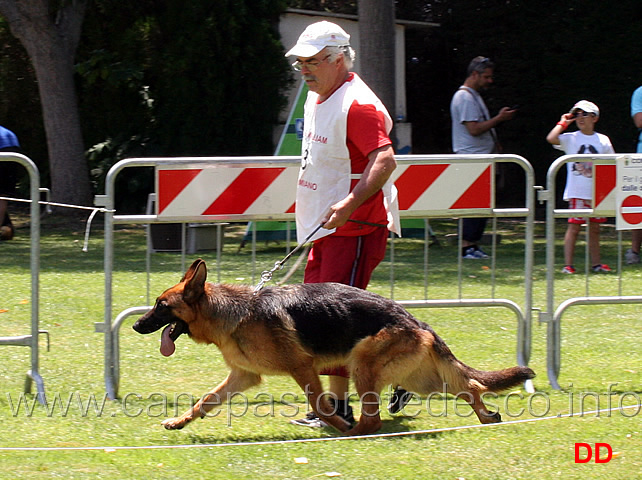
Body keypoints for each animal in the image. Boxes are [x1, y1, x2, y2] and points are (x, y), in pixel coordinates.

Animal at [132, 258, 532, 436]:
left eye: (161, 306)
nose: (136, 325)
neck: (233, 314)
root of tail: (416, 321)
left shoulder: (302, 368)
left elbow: (320, 405)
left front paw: (335, 422)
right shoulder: (243, 377)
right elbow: (205, 401)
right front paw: (180, 421)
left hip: (363, 365)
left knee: (373, 418)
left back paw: (352, 431)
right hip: (421, 379)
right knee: (470, 385)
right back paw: (487, 417)